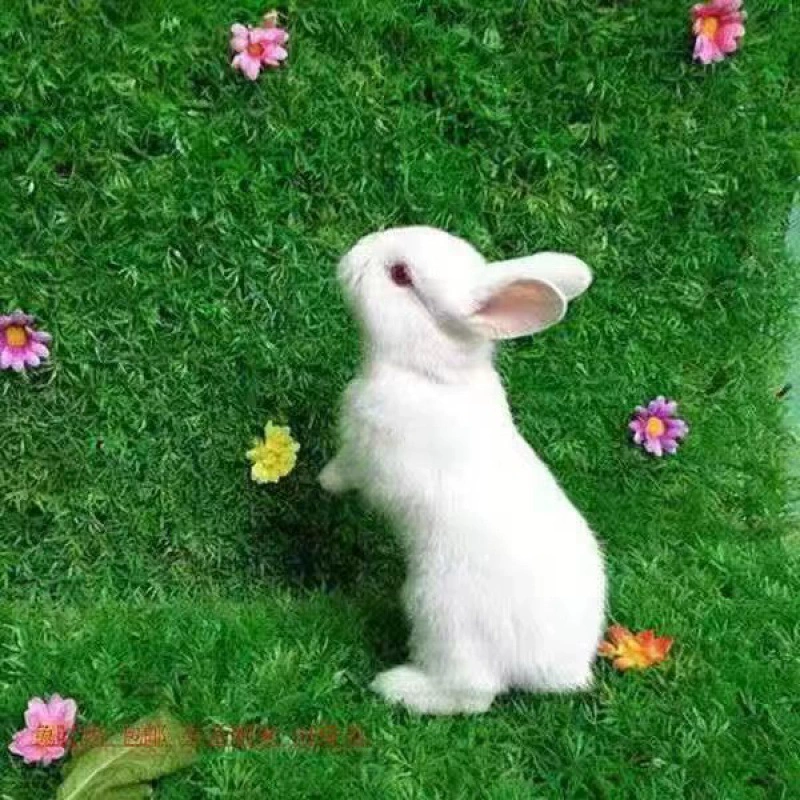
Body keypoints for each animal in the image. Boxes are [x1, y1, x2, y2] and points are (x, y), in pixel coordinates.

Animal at [320, 226, 606, 715]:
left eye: (400, 275)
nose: (352, 254)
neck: (430, 375)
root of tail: (560, 670)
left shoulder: (367, 452)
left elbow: (348, 470)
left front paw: (323, 480)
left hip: (440, 614)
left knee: (472, 693)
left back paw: (397, 686)